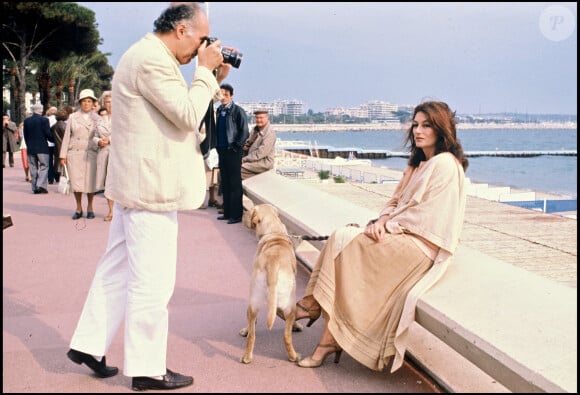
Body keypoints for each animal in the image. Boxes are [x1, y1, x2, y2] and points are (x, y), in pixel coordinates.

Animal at [239, 204, 302, 366]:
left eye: (250, 212)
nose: (242, 215)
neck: (274, 232)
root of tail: (273, 262)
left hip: (253, 302)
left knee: (252, 334)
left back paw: (247, 356)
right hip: (290, 303)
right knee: (286, 335)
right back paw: (293, 356)